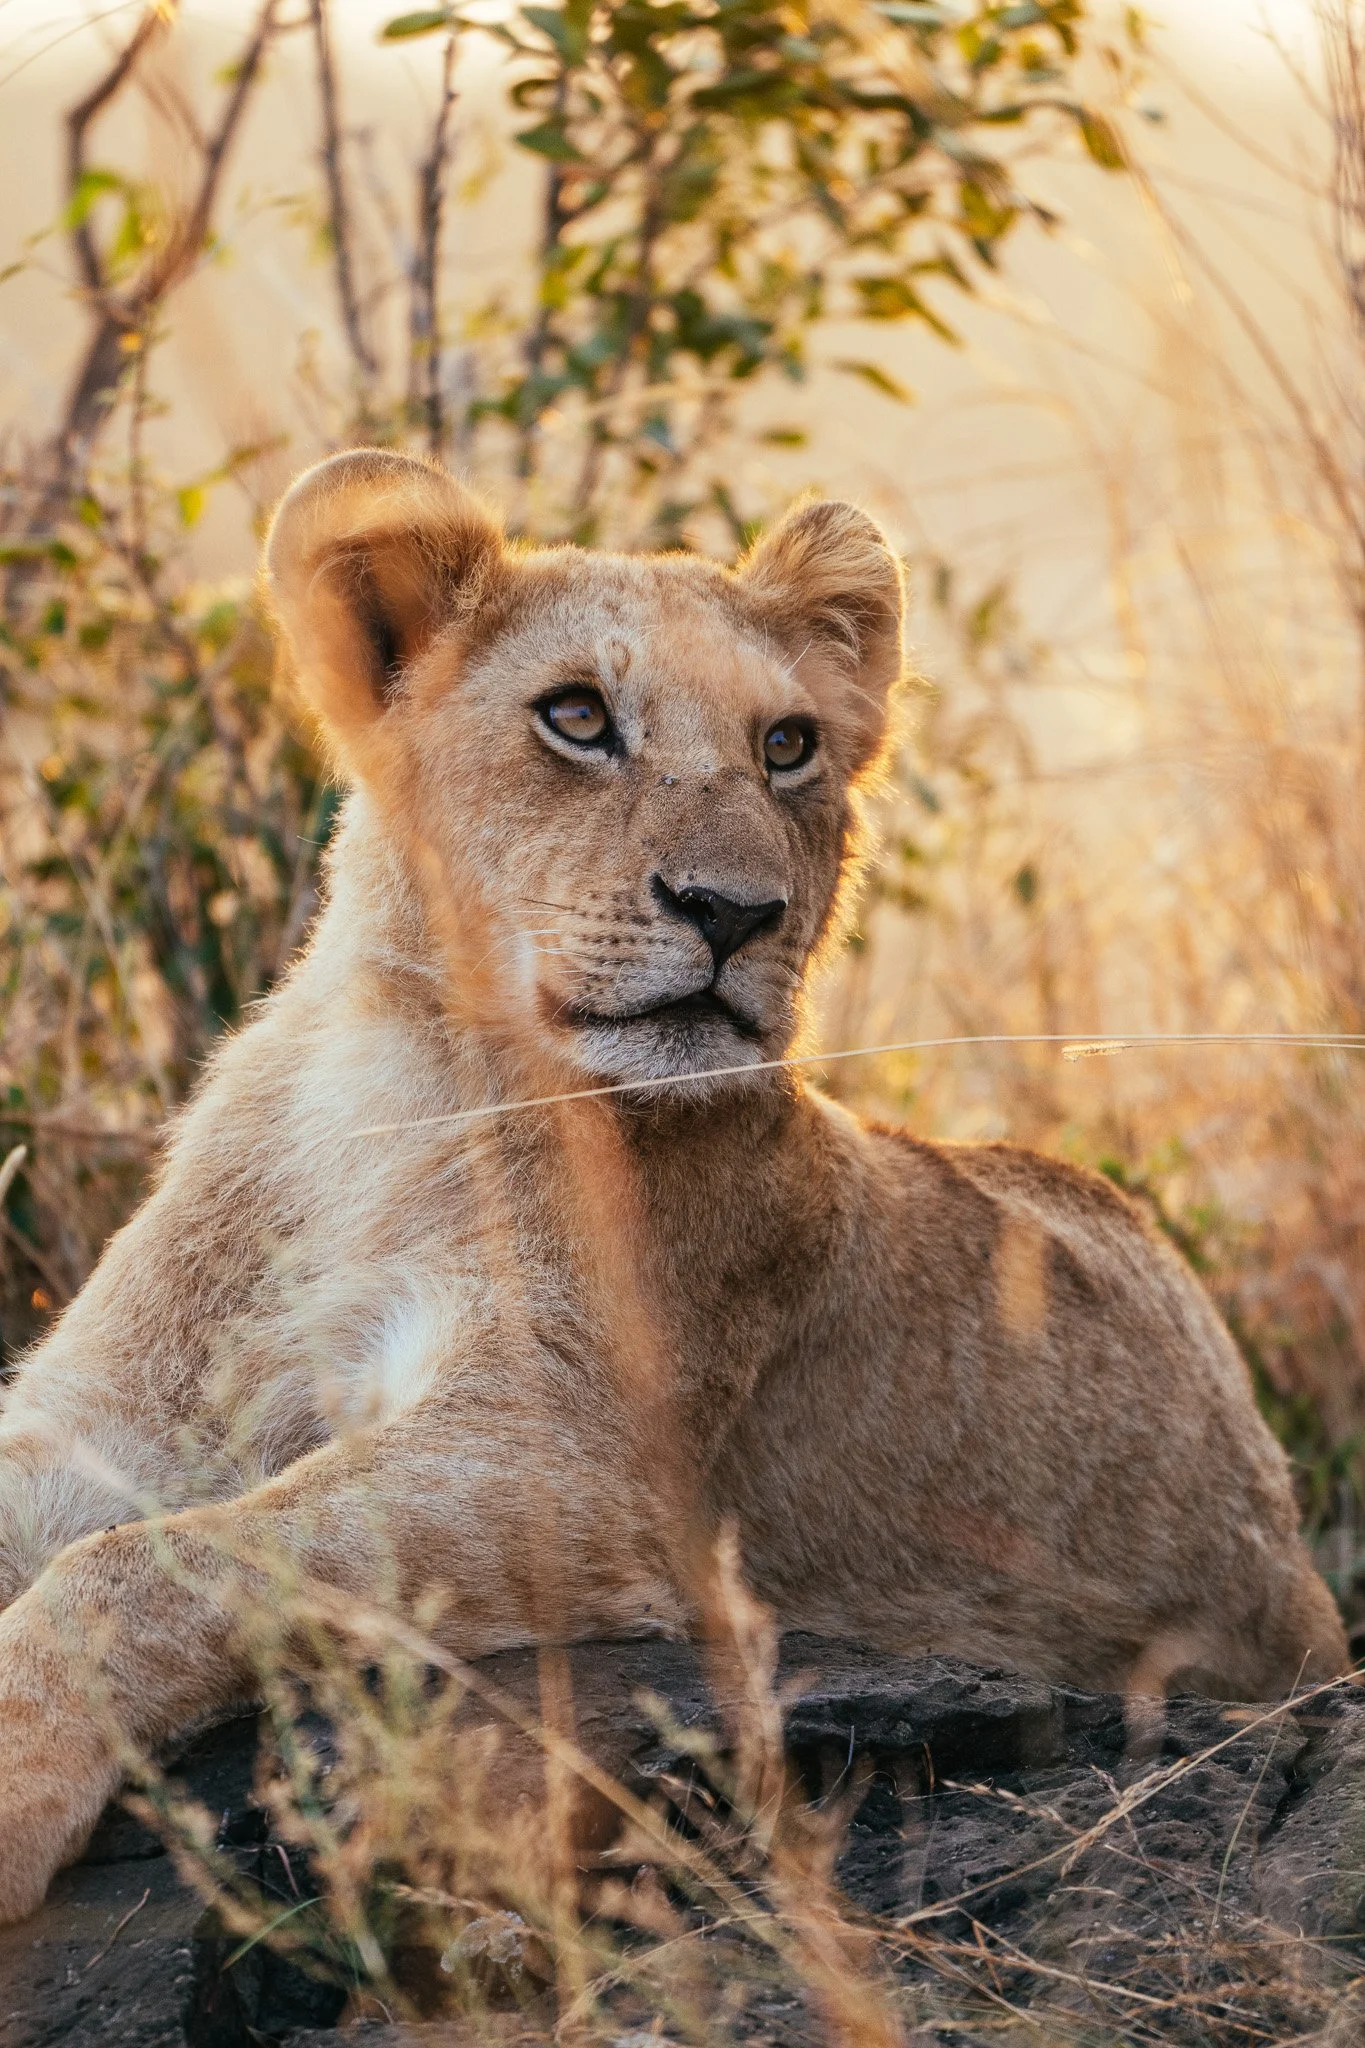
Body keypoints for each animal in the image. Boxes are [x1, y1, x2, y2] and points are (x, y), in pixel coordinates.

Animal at [0, 450, 1345, 1925]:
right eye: (578, 716)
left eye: (787, 745)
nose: (734, 911)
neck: (397, 1076)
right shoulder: (111, 1410)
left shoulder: (577, 1472)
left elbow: (155, 1564)